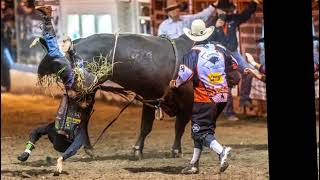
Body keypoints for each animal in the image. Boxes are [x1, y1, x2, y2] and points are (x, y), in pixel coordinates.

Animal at [37, 33, 196, 158]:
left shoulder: (153, 98)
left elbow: (148, 125)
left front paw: (138, 150)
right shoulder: (184, 102)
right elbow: (178, 126)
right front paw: (176, 150)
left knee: (83, 117)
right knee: (82, 118)